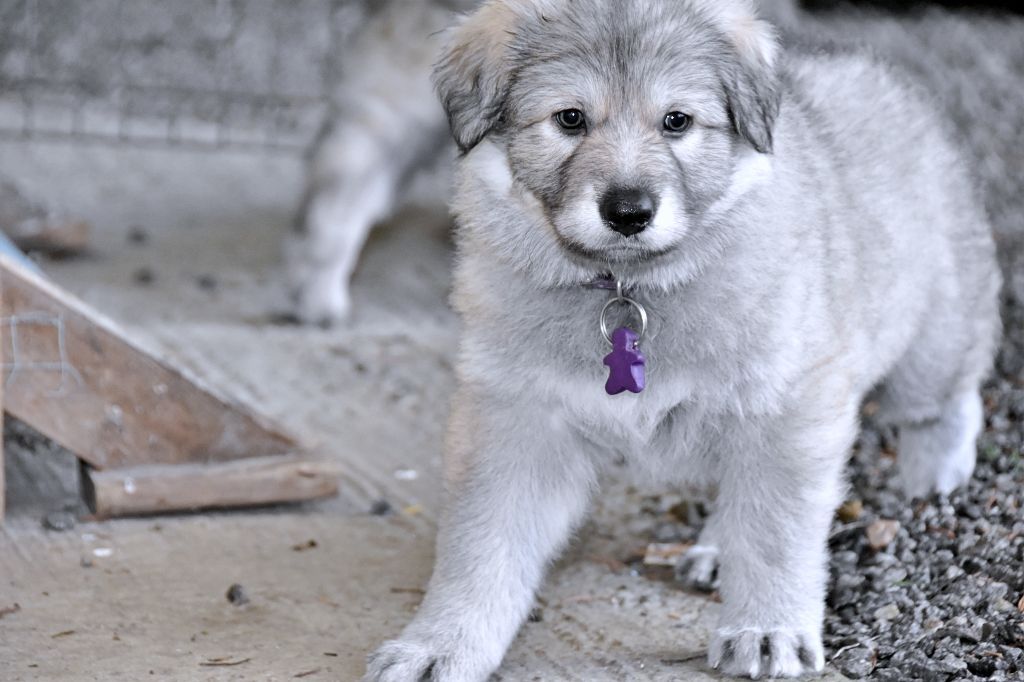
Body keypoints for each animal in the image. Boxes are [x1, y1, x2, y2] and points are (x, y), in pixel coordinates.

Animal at [285, 0, 799, 325]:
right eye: (570, 118)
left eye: (676, 121)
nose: (629, 215)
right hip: (397, 111)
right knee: (339, 195)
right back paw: (318, 295)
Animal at [363, 0, 1002, 679]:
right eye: (569, 119)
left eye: (676, 121)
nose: (629, 212)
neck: (629, 289)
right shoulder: (515, 419)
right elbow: (481, 545)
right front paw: (442, 644)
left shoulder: (788, 407)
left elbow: (775, 532)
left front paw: (766, 628)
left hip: (930, 337)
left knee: (948, 399)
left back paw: (936, 477)